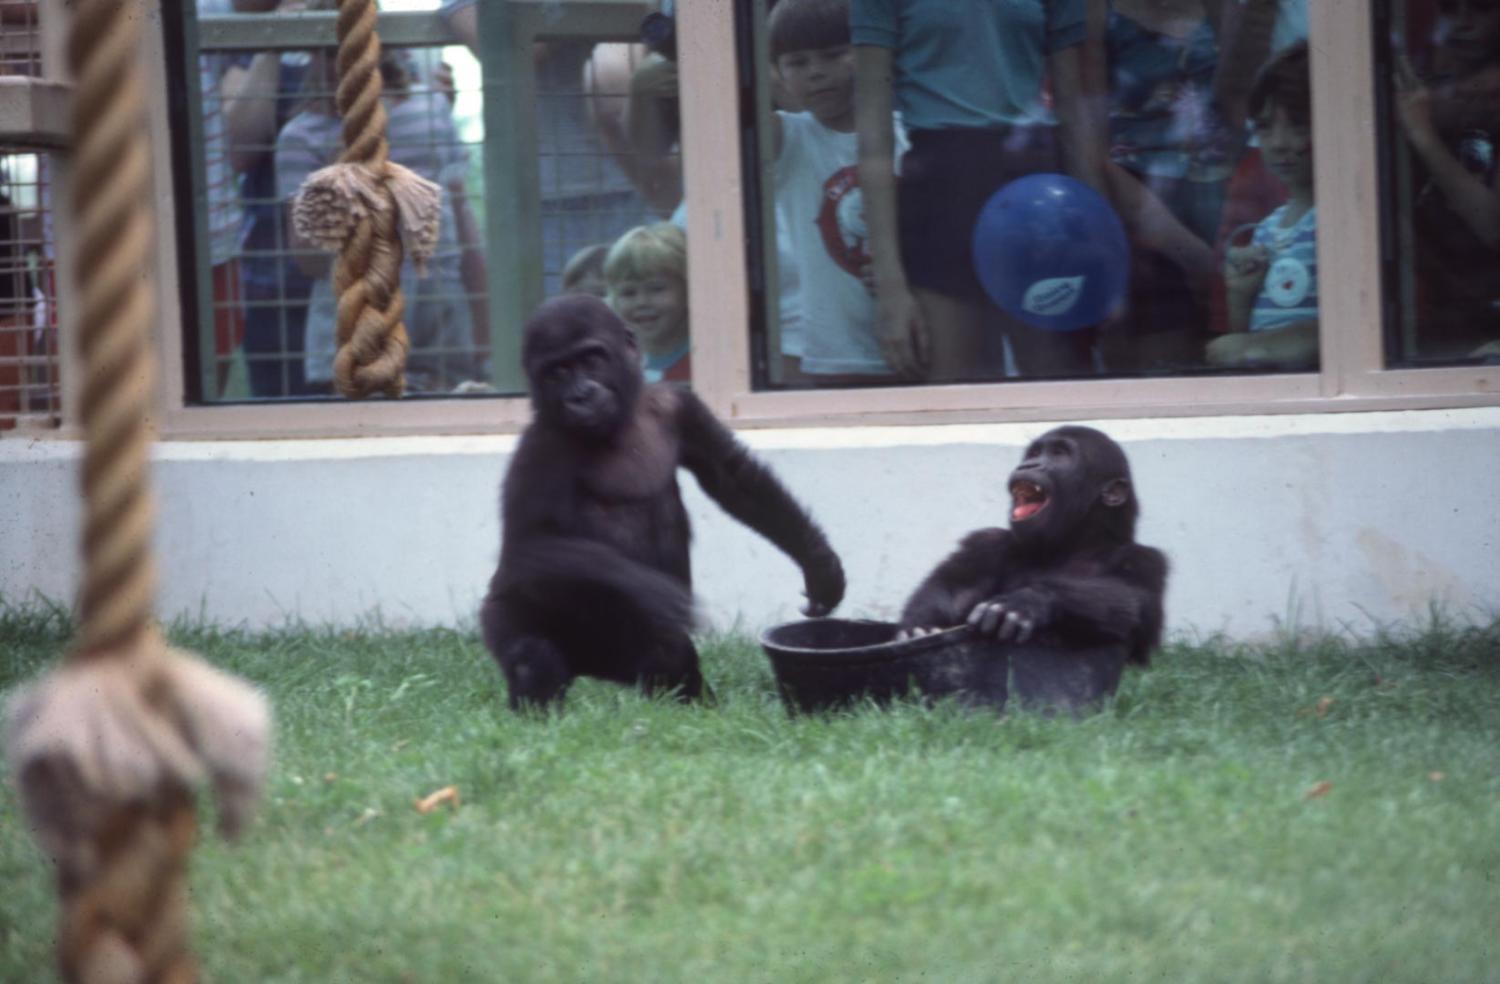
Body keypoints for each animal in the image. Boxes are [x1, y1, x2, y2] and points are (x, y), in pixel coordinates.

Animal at [480, 292, 846, 708]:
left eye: (590, 358)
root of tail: (588, 667)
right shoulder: (541, 448)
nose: (580, 394)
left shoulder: (678, 404)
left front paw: (820, 566)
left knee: (669, 659)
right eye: (556, 372)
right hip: (510, 611)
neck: (621, 420)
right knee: (532, 654)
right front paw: (649, 588)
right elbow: (528, 546)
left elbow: (733, 476)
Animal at [894, 426, 1164, 669]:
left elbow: (1130, 602)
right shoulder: (986, 542)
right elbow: (953, 587)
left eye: (1059, 453)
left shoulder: (1145, 560)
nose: (1029, 465)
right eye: (1034, 453)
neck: (1068, 544)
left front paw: (1029, 601)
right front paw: (918, 629)